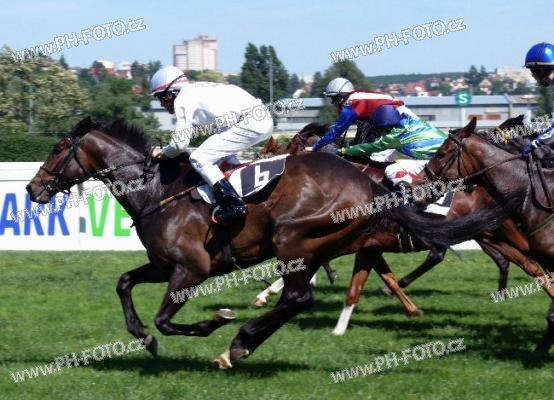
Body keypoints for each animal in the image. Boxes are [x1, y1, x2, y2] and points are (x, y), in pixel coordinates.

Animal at [26, 116, 510, 368]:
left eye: (57, 150)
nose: (33, 189)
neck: (155, 192)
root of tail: (369, 185)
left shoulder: (192, 269)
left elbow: (166, 318)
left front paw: (214, 321)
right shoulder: (164, 265)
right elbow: (124, 283)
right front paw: (142, 338)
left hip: (294, 238)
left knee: (298, 298)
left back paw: (238, 343)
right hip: (315, 245)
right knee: (302, 295)